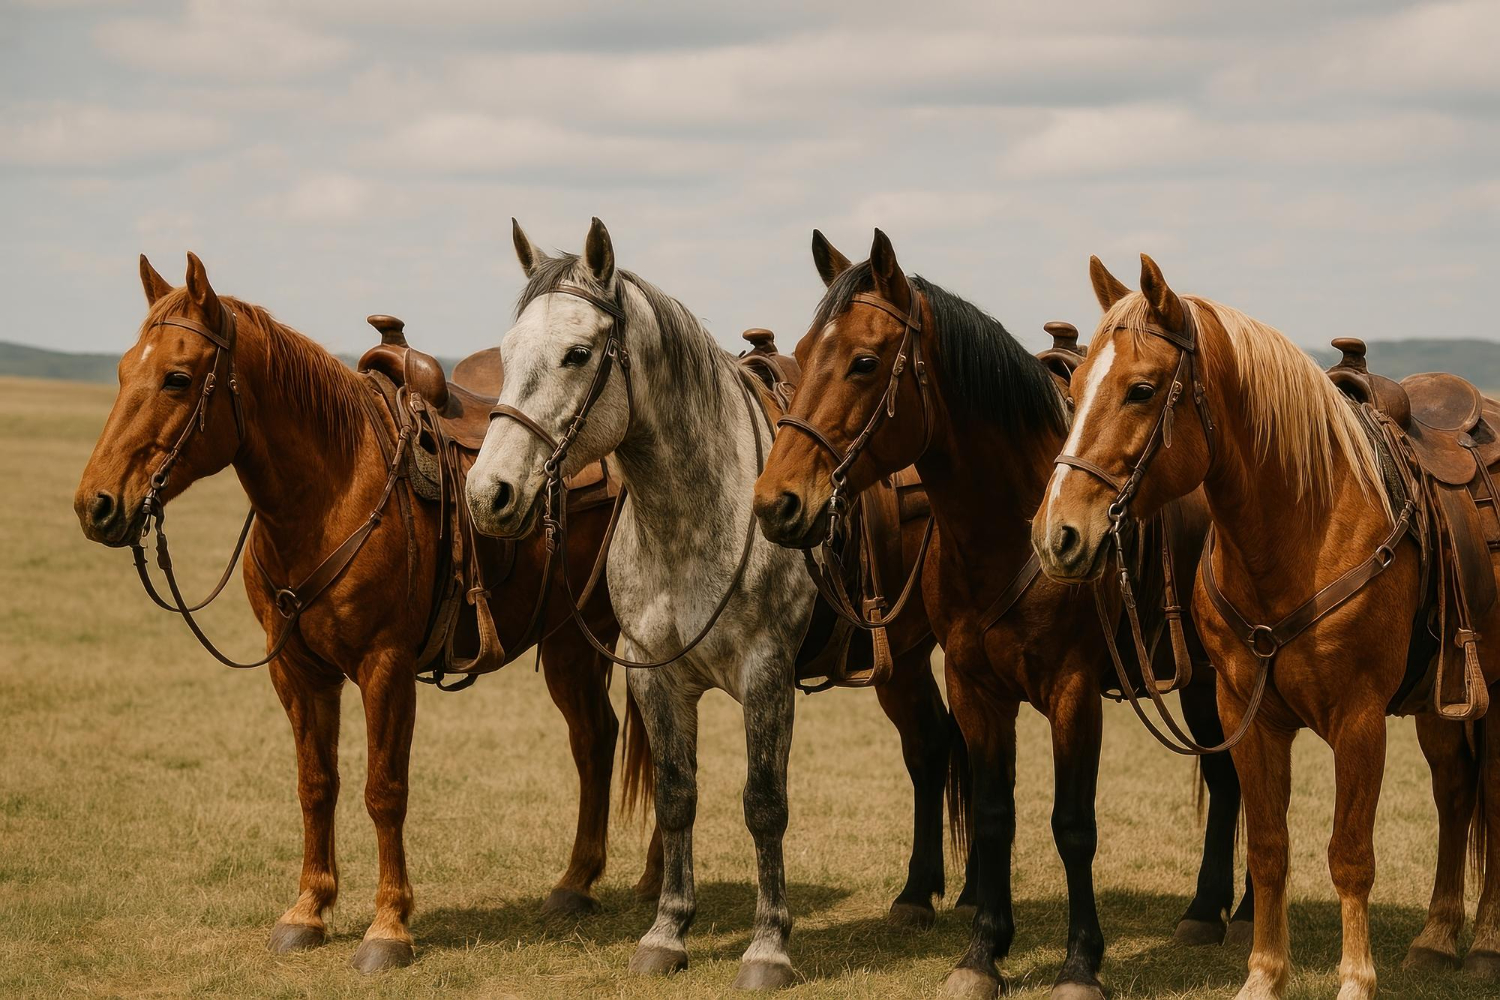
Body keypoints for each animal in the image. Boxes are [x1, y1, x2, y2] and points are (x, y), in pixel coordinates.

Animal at [73, 253, 653, 973]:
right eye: (123, 371)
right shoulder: (297, 672)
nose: (95, 505)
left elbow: (385, 790)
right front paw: (307, 910)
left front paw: (388, 927)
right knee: (596, 740)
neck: (330, 490)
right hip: (571, 642)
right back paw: (580, 884)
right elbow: (316, 783)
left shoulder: (386, 666)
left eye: (177, 378)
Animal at [465, 218, 968, 987]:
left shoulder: (765, 677)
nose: (488, 494)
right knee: (928, 744)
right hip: (901, 659)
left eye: (578, 354)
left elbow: (764, 804)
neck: (698, 514)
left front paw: (768, 946)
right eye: (509, 350)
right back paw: (915, 897)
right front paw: (667, 932)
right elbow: (676, 795)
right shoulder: (657, 676)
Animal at [753, 230, 1249, 1000]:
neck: (1010, 529)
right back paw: (1204, 910)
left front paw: (1080, 963)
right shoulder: (975, 687)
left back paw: (1240, 911)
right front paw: (983, 952)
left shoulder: (1074, 694)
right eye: (803, 355)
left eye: (865, 361)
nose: (777, 502)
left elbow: (1072, 825)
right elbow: (992, 815)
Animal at [1033, 254, 1500, 999]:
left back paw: (1483, 944)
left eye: (1142, 390)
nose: (1059, 536)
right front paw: (1264, 974)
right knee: (1456, 793)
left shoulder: (1359, 719)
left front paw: (1355, 980)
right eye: (1072, 391)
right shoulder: (1247, 712)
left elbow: (1349, 853)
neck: (1303, 526)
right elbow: (1270, 848)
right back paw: (1434, 938)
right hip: (1440, 703)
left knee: (1492, 797)